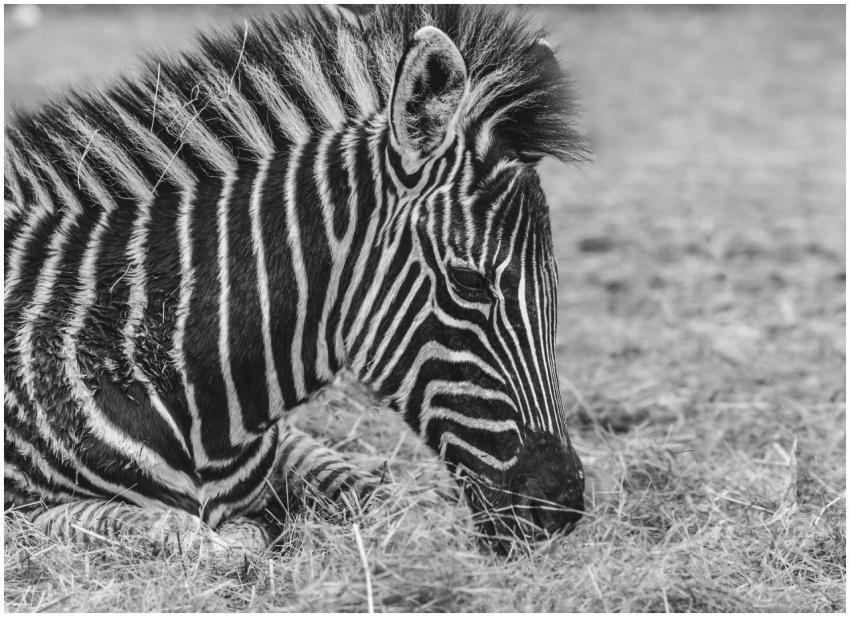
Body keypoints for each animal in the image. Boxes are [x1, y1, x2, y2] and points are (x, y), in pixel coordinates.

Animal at [4, 5, 587, 554]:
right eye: (468, 281)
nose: (562, 506)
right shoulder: (27, 513)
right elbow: (191, 536)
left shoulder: (291, 444)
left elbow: (398, 504)